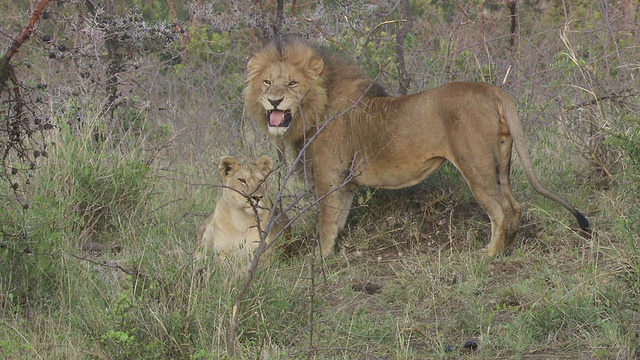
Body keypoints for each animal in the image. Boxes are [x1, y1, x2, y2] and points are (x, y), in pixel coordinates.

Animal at [244, 38, 592, 258]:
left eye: (292, 83)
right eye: (267, 82)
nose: (274, 101)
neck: (314, 108)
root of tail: (490, 88)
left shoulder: (330, 176)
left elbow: (326, 221)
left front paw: (320, 258)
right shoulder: (345, 182)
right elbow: (339, 217)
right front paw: (329, 254)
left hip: (475, 164)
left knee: (501, 210)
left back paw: (490, 254)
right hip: (501, 163)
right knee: (515, 206)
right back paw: (508, 248)